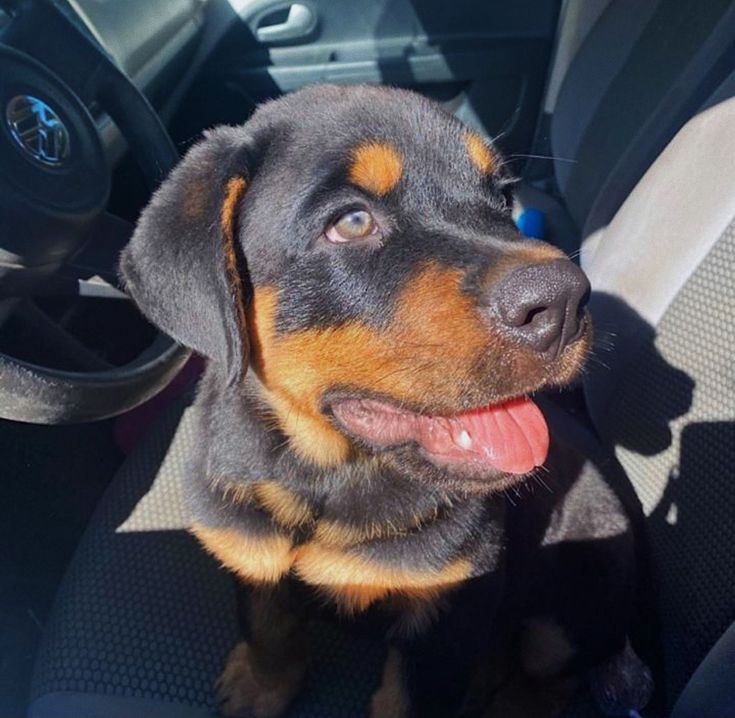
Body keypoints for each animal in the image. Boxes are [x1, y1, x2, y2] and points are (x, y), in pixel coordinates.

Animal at [122, 86, 656, 718]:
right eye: (352, 222)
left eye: (502, 198)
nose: (567, 301)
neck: (327, 470)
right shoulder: (247, 544)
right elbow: (268, 628)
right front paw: (257, 687)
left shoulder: (450, 608)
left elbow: (409, 697)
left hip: (583, 585)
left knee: (554, 671)